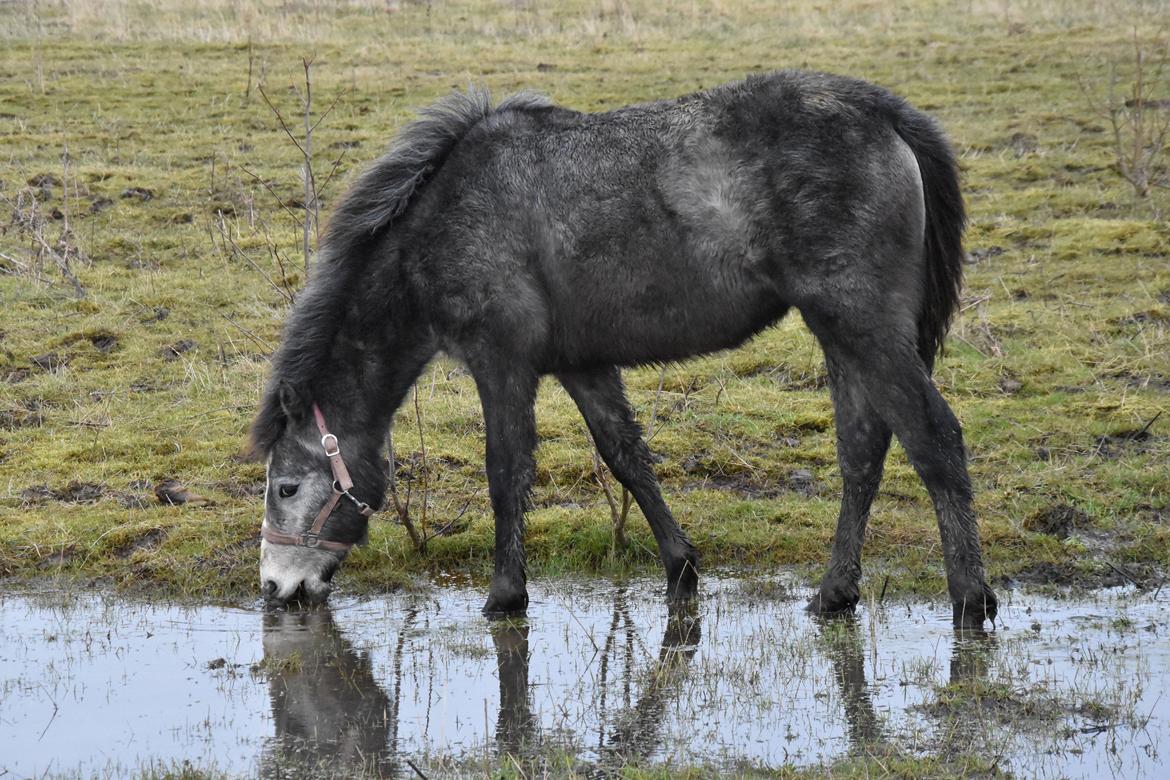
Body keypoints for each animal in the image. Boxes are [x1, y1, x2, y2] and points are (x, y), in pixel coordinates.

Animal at [246, 70, 996, 631]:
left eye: (286, 486)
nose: (274, 588)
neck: (447, 216)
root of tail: (885, 113)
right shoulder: (581, 364)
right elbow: (626, 457)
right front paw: (681, 566)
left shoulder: (502, 363)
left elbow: (506, 473)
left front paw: (505, 596)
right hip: (840, 333)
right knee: (862, 450)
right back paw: (835, 592)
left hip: (863, 325)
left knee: (933, 438)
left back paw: (971, 599)